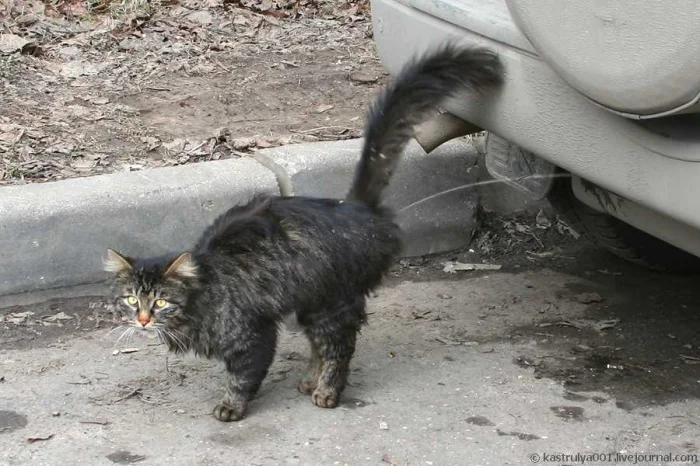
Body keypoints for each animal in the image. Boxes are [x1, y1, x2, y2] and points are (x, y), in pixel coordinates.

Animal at [103, 44, 503, 422]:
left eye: (160, 302)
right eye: (131, 299)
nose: (142, 320)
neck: (204, 293)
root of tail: (354, 208)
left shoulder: (254, 335)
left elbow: (242, 377)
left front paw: (231, 406)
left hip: (332, 303)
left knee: (339, 349)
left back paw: (326, 391)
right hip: (312, 302)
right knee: (319, 346)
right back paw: (311, 379)